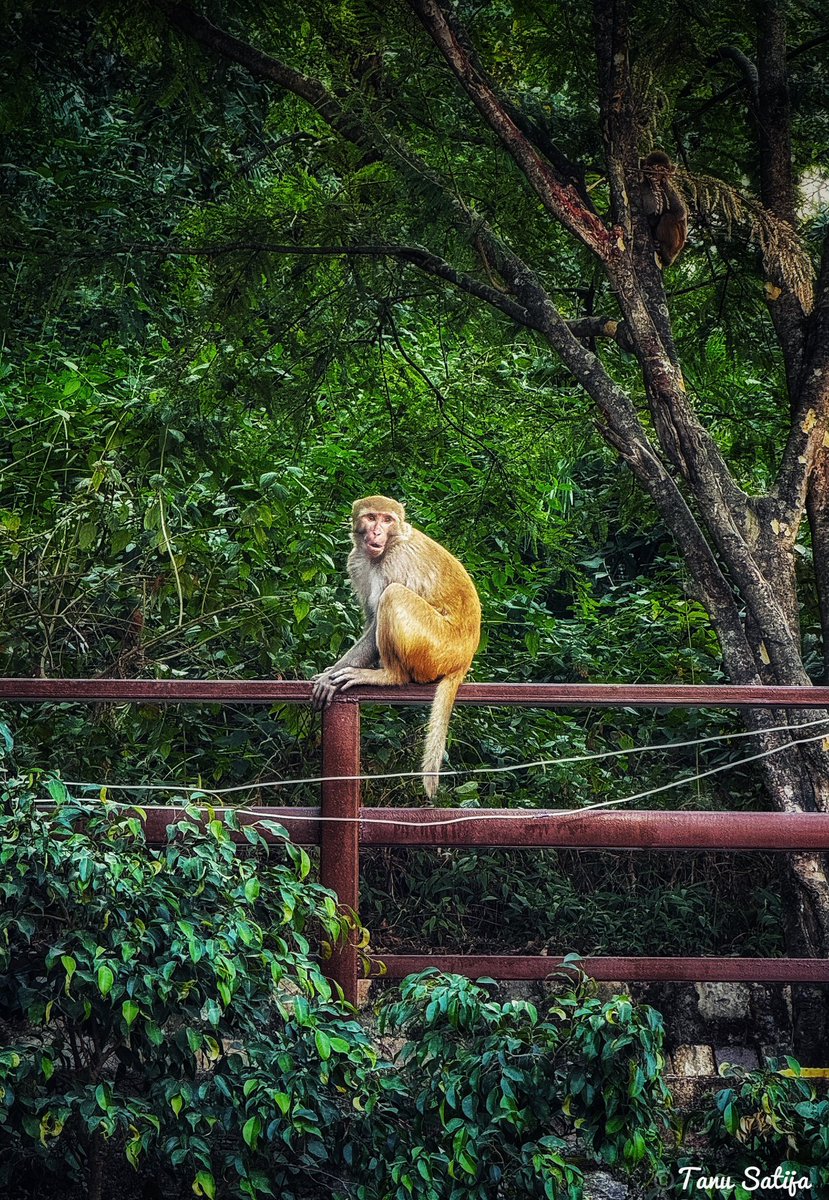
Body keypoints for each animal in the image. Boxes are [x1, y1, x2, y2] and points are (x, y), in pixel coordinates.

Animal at [311, 496, 481, 798]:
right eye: (371, 517)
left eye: (387, 519)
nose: (377, 532)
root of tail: (463, 658)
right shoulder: (356, 561)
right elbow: (371, 619)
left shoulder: (395, 562)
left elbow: (377, 621)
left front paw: (330, 678)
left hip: (435, 647)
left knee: (393, 595)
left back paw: (389, 676)